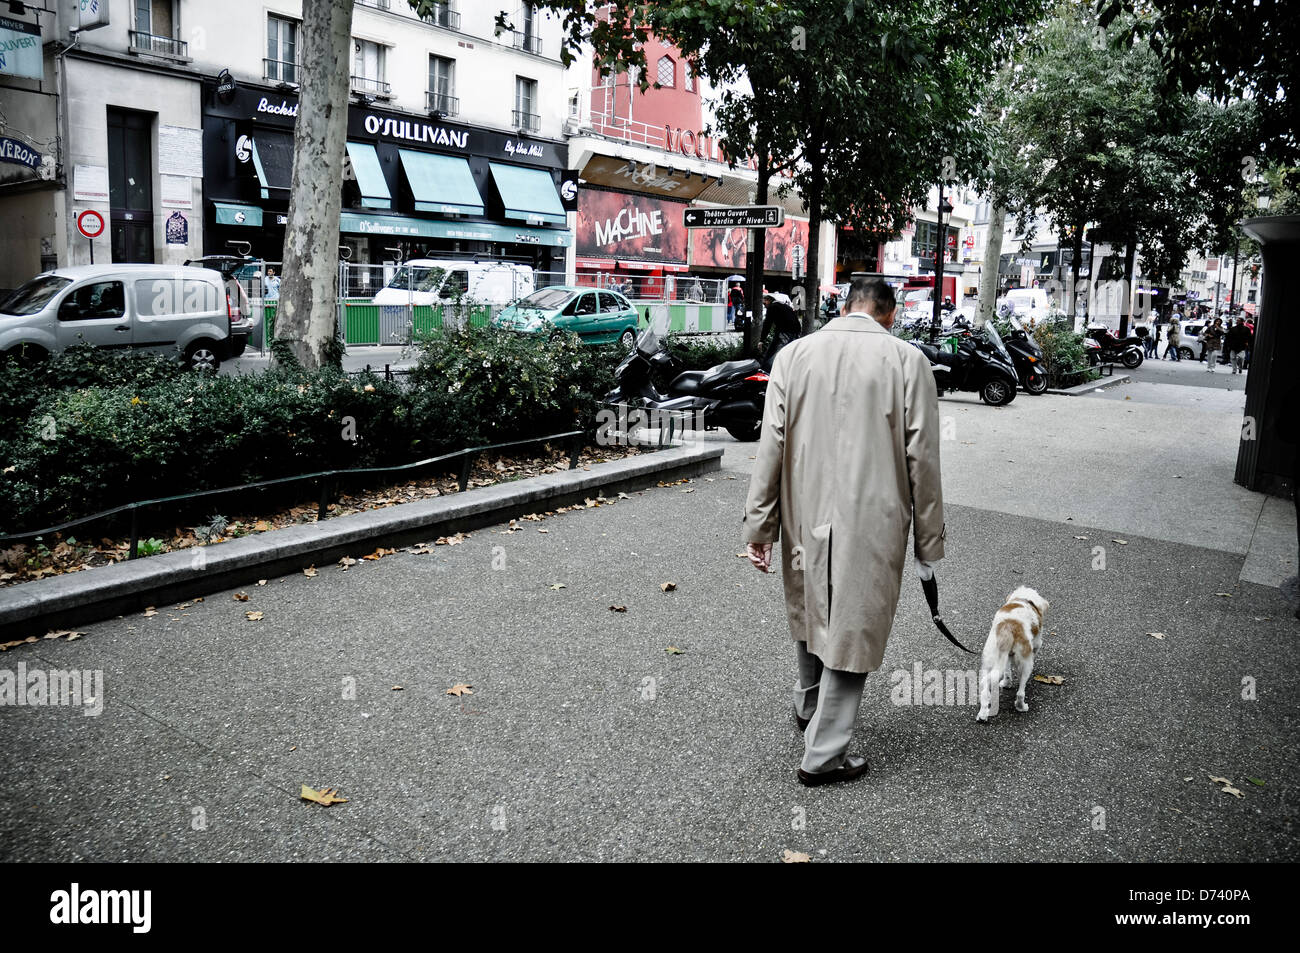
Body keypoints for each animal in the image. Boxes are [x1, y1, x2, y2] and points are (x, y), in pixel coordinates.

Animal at [977, 587, 1050, 722]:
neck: (1023, 599)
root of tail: (1007, 628)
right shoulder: (1037, 643)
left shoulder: (1006, 657)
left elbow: (1007, 672)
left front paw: (1006, 683)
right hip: (1025, 663)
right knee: (1020, 692)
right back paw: (1021, 707)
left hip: (988, 660)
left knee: (985, 688)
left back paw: (983, 714)